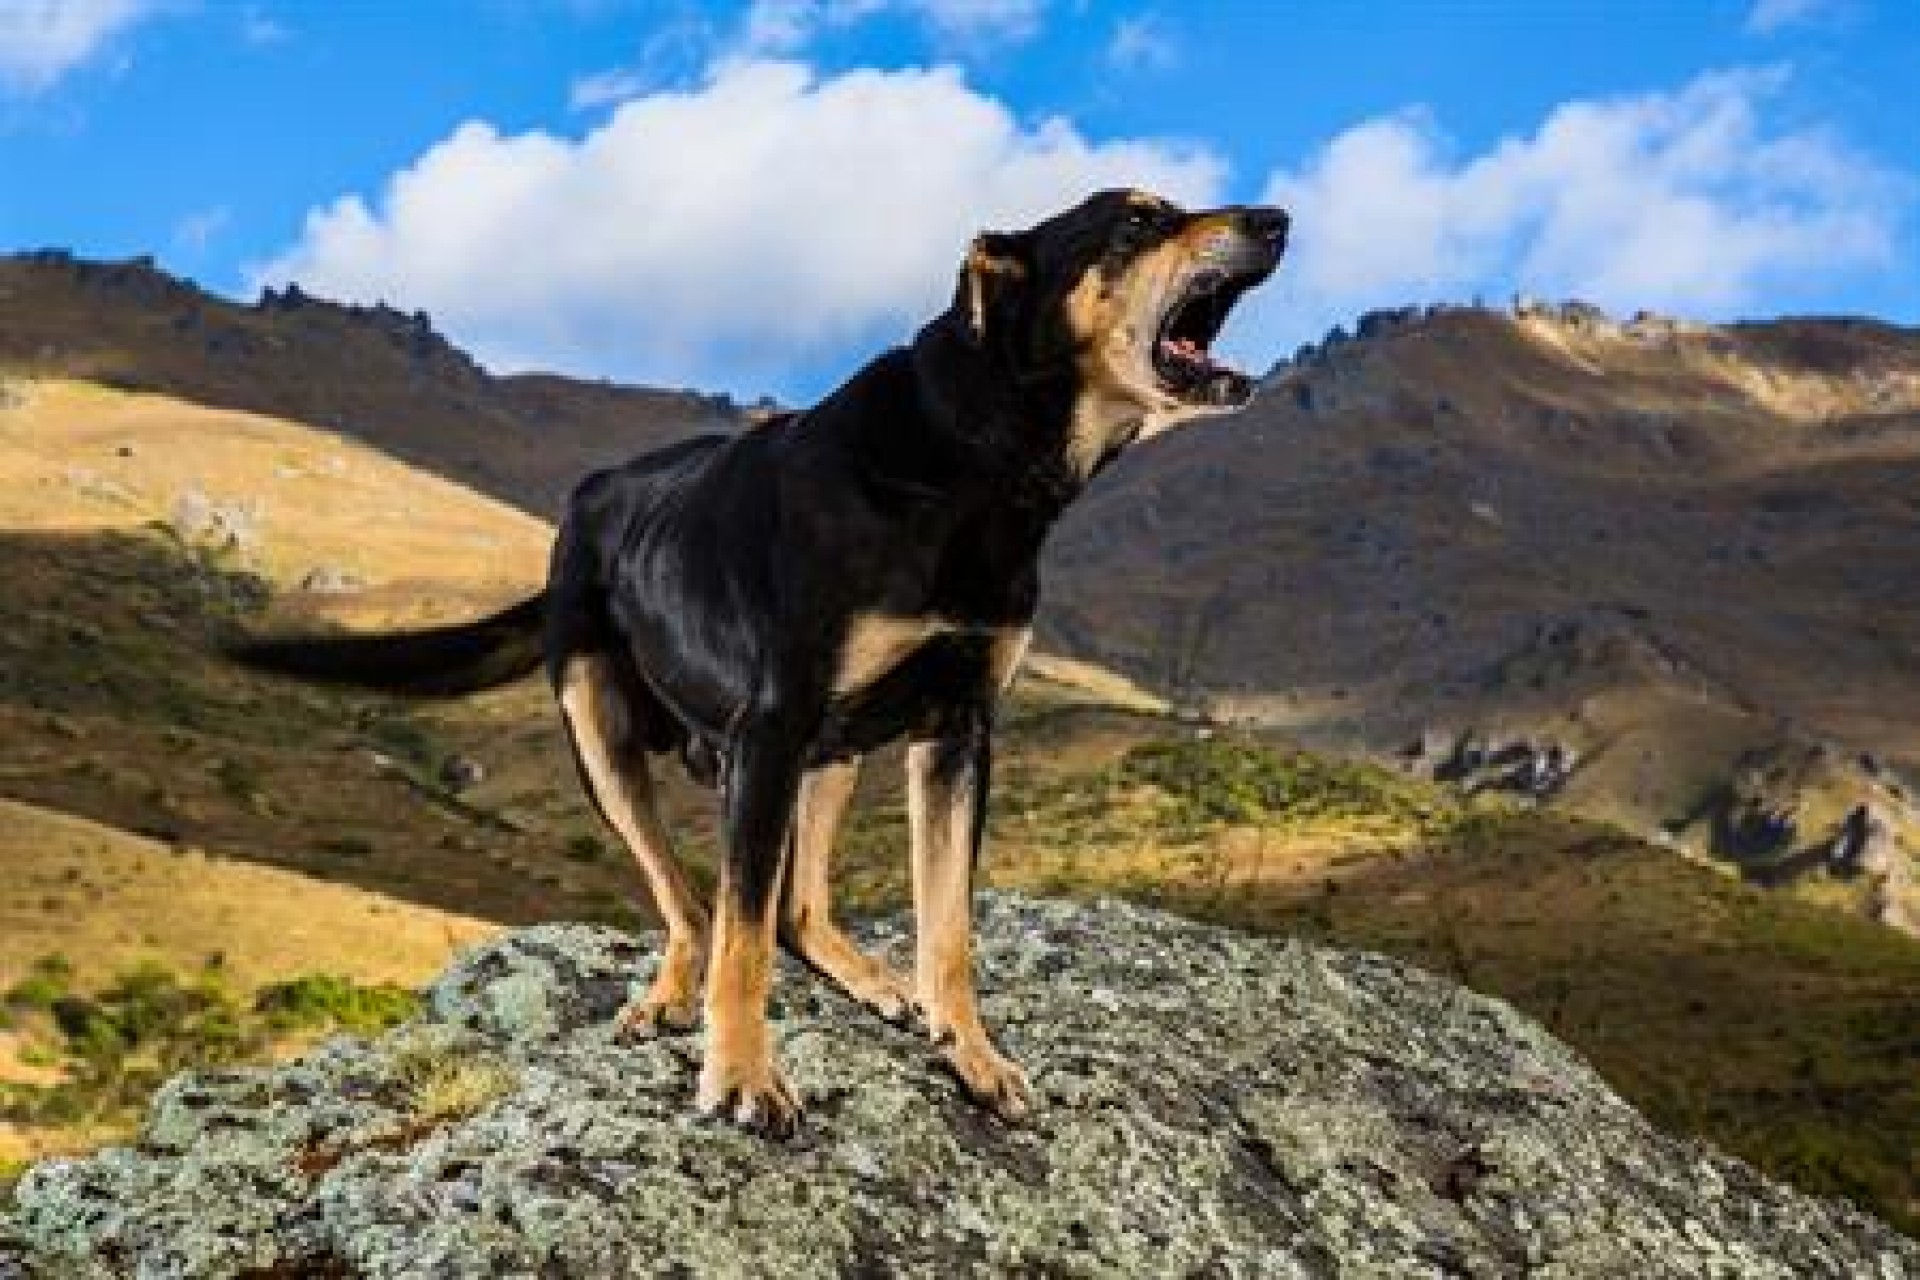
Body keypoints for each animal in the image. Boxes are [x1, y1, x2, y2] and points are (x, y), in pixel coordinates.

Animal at [240, 188, 1290, 1128]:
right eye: (1136, 222)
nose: (1276, 219)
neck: (975, 457)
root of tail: (592, 494)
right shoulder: (772, 729)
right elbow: (741, 935)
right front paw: (743, 1076)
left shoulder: (956, 733)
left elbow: (947, 927)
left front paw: (972, 1053)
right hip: (605, 732)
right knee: (691, 909)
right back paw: (670, 996)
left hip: (835, 747)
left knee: (796, 911)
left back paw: (871, 980)